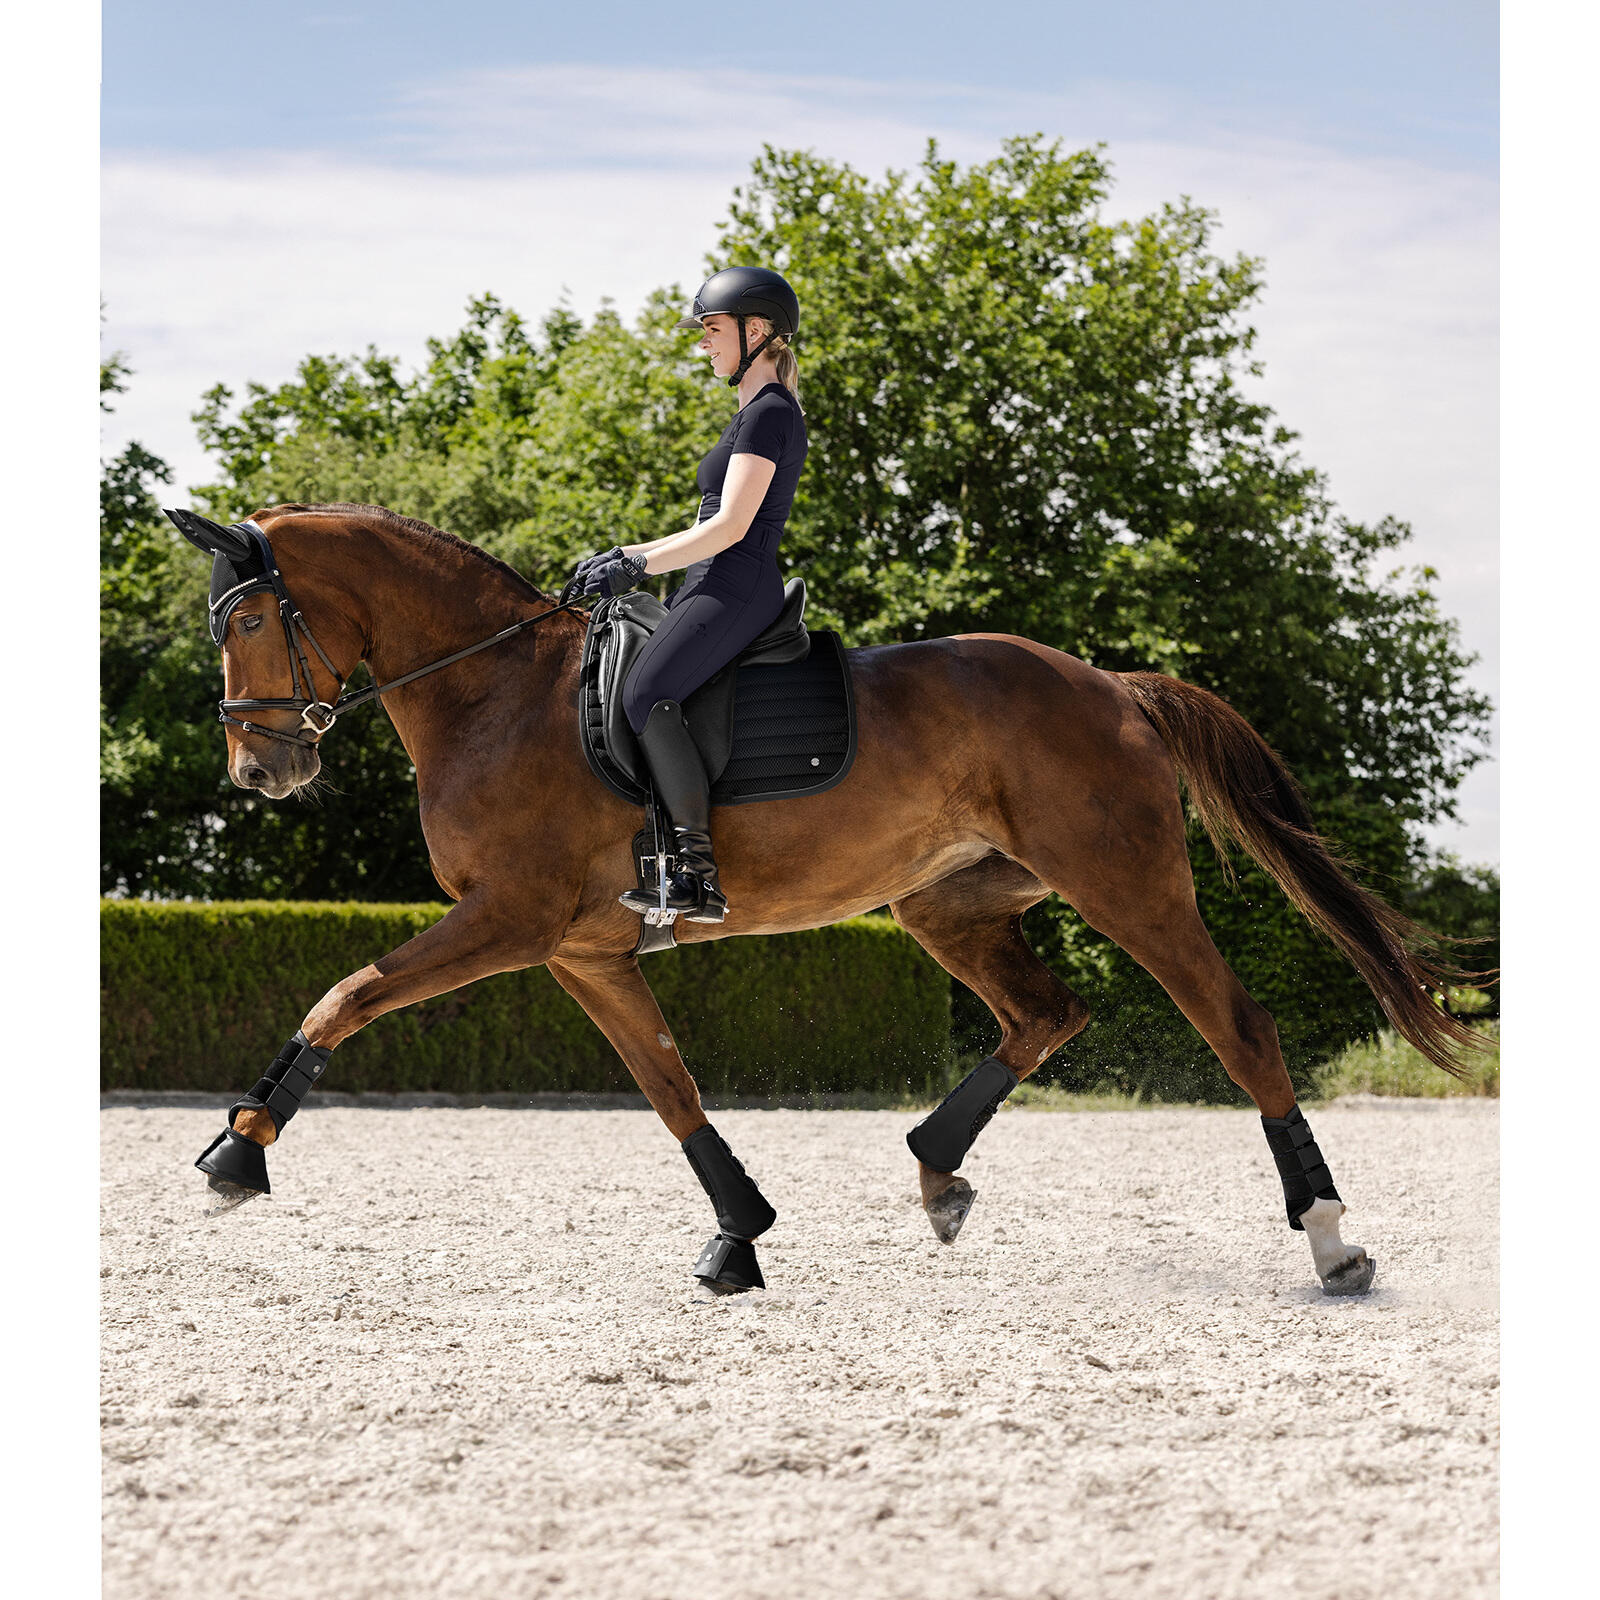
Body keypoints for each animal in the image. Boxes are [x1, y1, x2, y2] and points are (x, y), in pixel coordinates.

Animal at [164, 501, 1483, 1297]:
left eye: (248, 619)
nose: (257, 771)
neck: (495, 692)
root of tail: (1109, 684)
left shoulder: (511, 920)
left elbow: (345, 993)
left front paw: (237, 1154)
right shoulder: (584, 952)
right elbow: (671, 1089)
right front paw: (737, 1233)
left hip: (1128, 886)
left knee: (1237, 1026)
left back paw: (1332, 1237)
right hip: (946, 904)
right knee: (1044, 1014)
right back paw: (937, 1172)